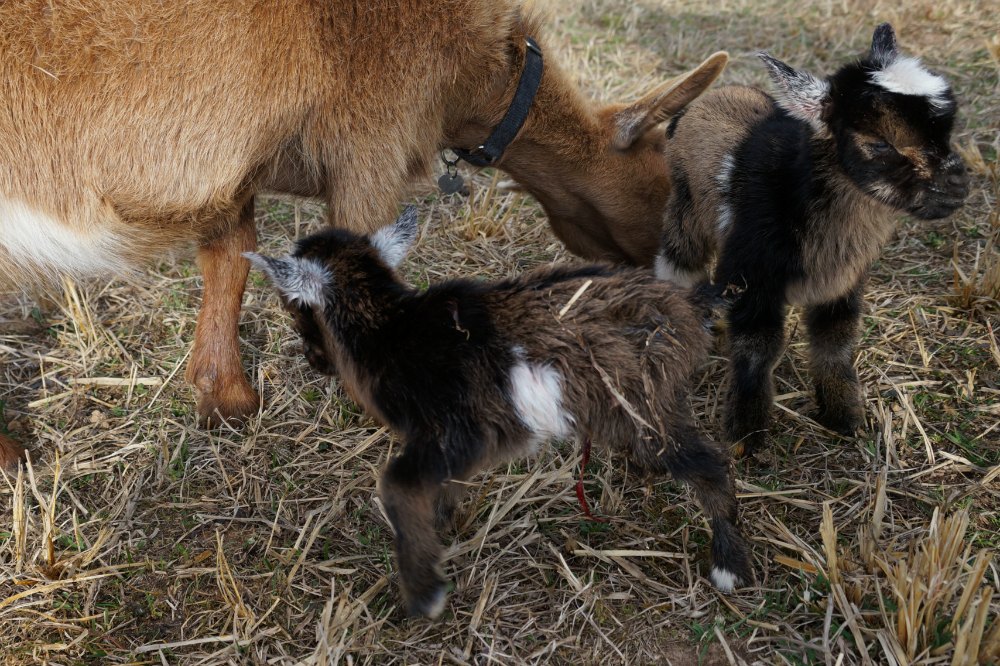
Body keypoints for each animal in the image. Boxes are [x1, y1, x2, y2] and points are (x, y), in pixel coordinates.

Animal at [0, 1, 728, 466]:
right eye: (671, 182)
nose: (696, 292)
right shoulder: (372, 142)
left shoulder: (232, 171)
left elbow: (229, 259)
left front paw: (226, 399)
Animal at [248, 206, 752, 612]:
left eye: (293, 305)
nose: (313, 360)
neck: (389, 329)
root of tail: (690, 302)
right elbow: (441, 489)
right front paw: (442, 531)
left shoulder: (455, 429)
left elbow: (397, 486)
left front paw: (424, 592)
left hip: (642, 402)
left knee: (709, 465)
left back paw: (729, 566)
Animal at [656, 24, 968, 452]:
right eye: (880, 143)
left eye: (949, 130)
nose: (958, 186)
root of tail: (710, 97)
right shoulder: (751, 276)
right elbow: (757, 351)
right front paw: (746, 435)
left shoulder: (842, 282)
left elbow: (835, 344)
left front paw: (843, 416)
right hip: (685, 211)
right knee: (677, 263)